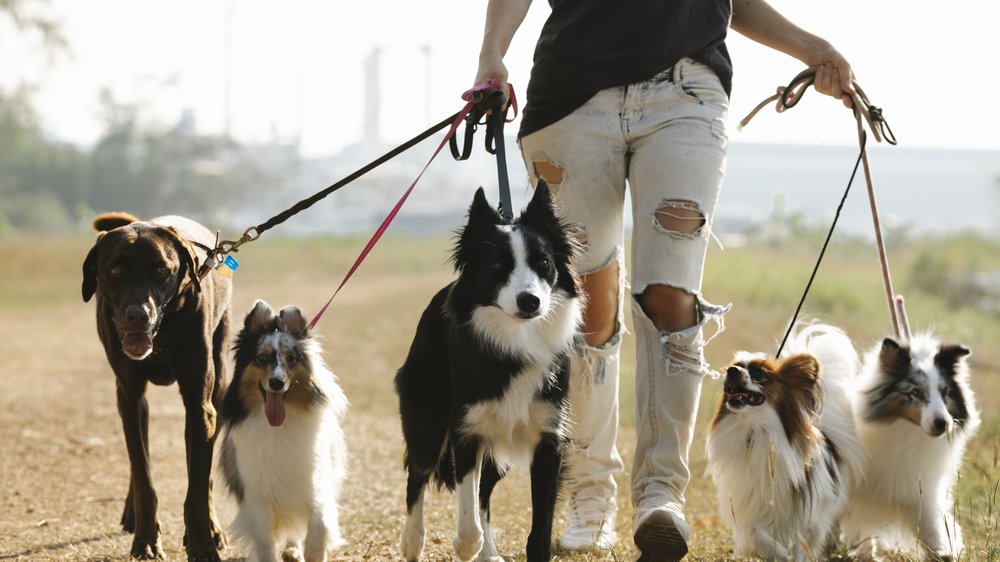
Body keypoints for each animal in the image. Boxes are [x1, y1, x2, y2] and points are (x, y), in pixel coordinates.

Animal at [83, 212, 231, 556]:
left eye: (162, 270)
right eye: (115, 270)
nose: (137, 315)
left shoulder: (200, 405)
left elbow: (198, 488)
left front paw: (203, 545)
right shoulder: (129, 394)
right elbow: (143, 475)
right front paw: (146, 538)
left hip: (218, 386)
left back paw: (213, 527)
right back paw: (132, 513)